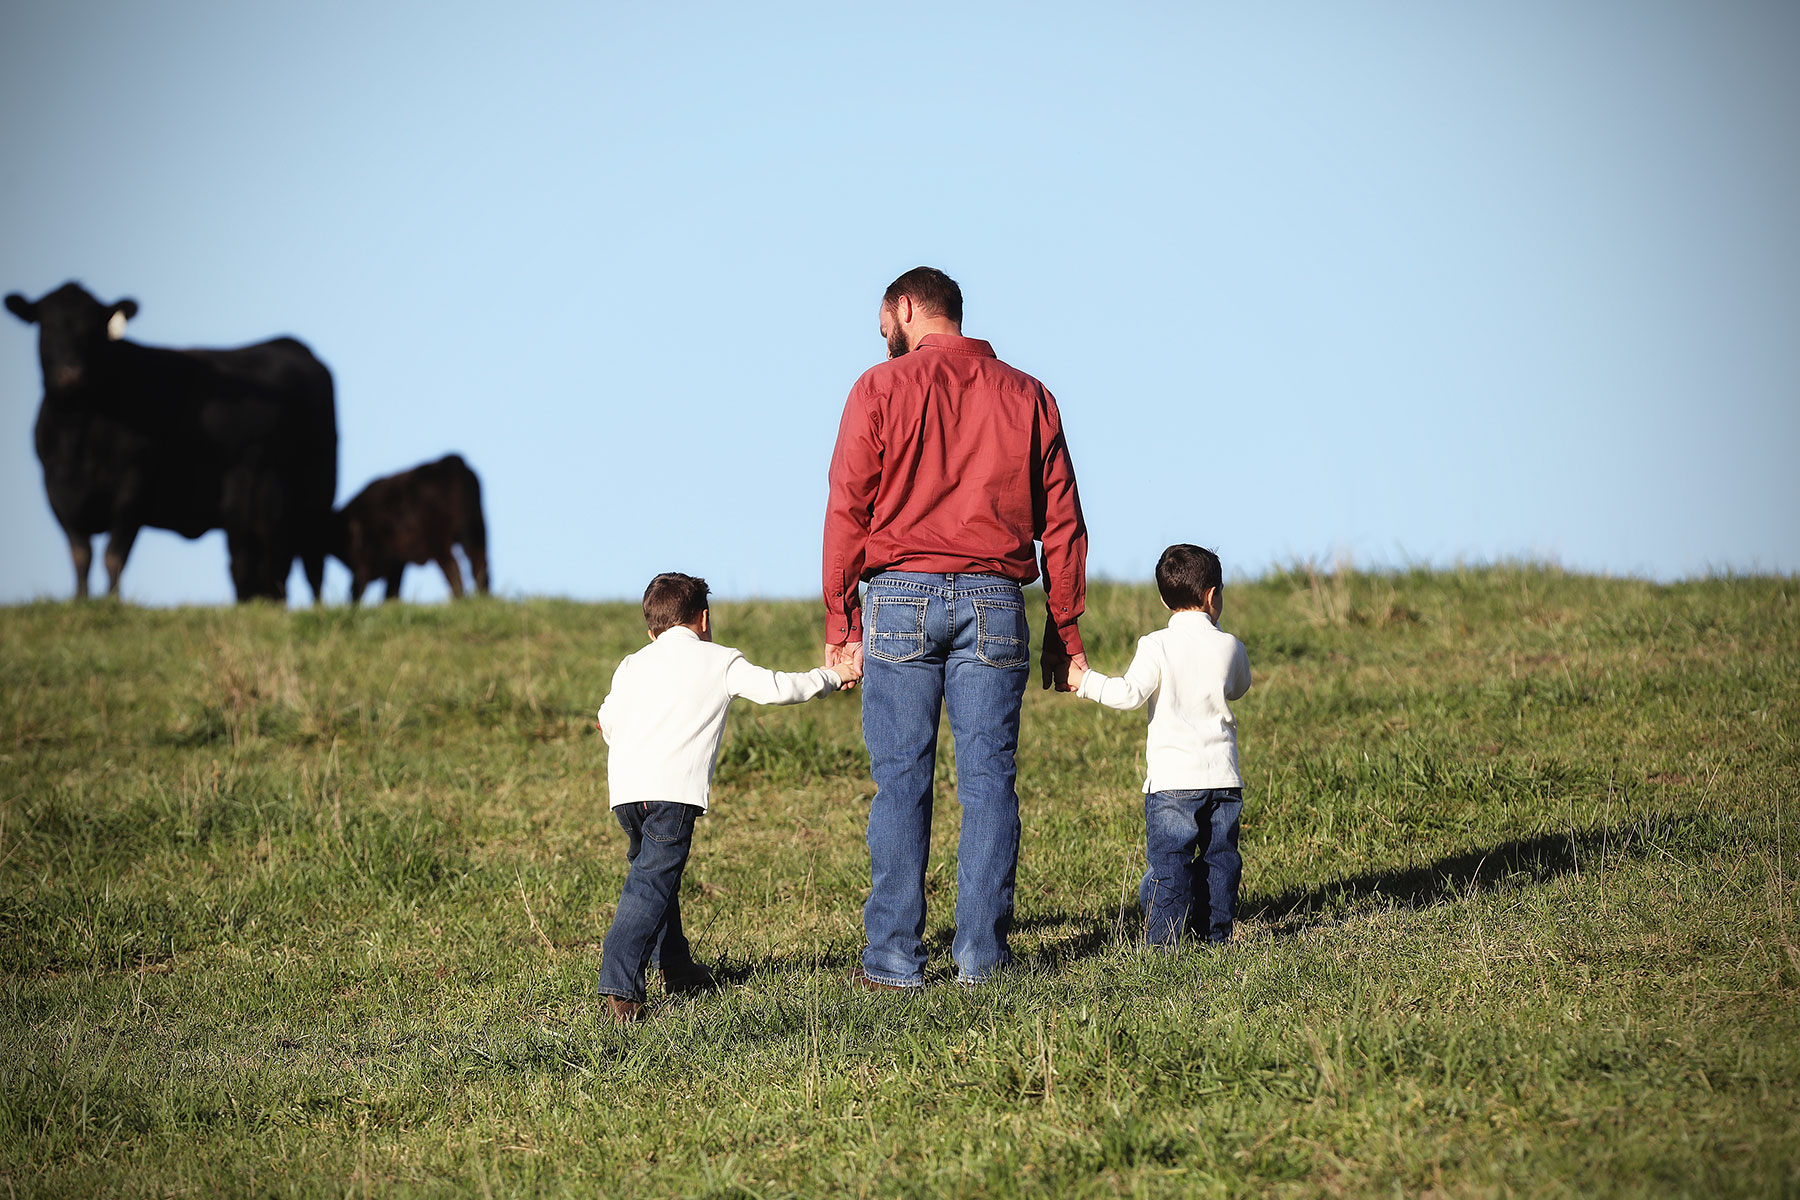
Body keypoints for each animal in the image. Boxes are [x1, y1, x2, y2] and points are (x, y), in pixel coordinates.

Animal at [5, 282, 338, 600]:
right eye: (47, 326)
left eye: (94, 329)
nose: (71, 374)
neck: (79, 430)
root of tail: (292, 345)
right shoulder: (55, 489)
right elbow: (80, 555)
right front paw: (81, 601)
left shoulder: (134, 484)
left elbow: (114, 554)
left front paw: (113, 602)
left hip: (311, 501)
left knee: (303, 566)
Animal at [333, 455, 489, 604]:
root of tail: (452, 462)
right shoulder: (396, 560)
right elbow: (392, 589)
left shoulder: (369, 559)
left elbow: (362, 586)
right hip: (476, 530)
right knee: (479, 564)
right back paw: (482, 596)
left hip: (439, 541)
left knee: (454, 569)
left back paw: (461, 599)